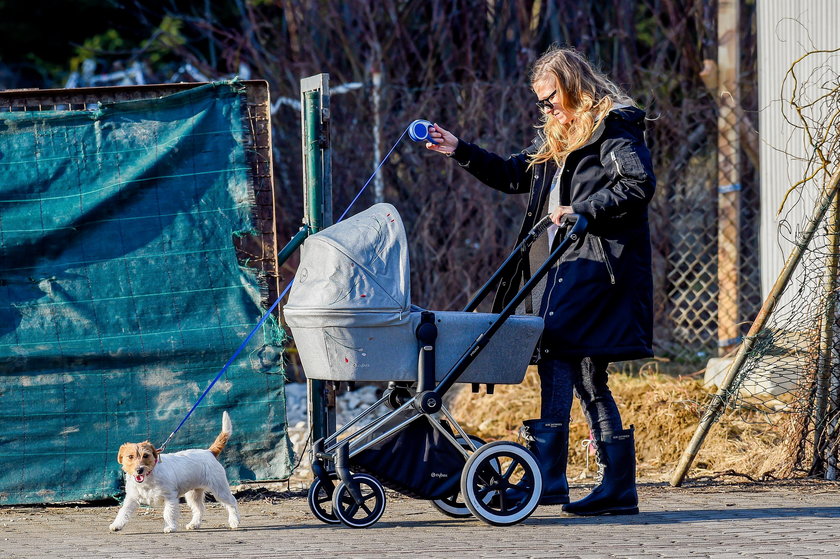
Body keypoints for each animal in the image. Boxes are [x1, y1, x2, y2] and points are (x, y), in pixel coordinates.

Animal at [108, 412, 240, 532]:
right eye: (130, 456)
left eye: (145, 455)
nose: (139, 470)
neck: (149, 478)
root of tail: (209, 452)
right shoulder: (131, 498)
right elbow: (123, 512)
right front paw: (116, 525)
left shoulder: (170, 497)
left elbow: (168, 513)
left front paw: (170, 527)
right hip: (193, 494)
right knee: (199, 509)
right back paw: (194, 524)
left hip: (220, 489)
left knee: (231, 502)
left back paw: (234, 521)